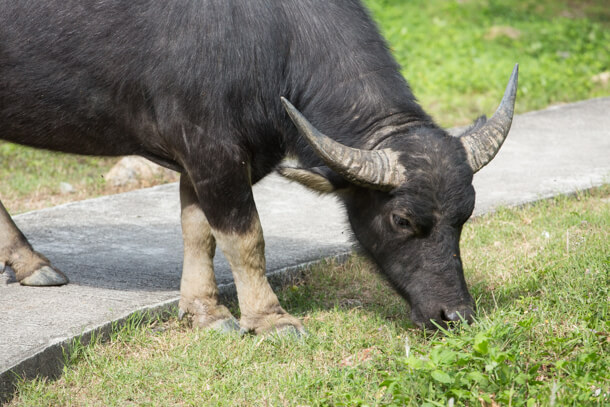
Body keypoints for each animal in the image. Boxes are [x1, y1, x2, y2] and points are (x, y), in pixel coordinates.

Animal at [0, 0, 516, 332]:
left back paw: (30, 264)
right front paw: (270, 319)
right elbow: (245, 237)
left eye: (466, 215)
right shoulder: (213, 151)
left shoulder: (202, 162)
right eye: (402, 220)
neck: (273, 39)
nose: (455, 315)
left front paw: (204, 312)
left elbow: (199, 231)